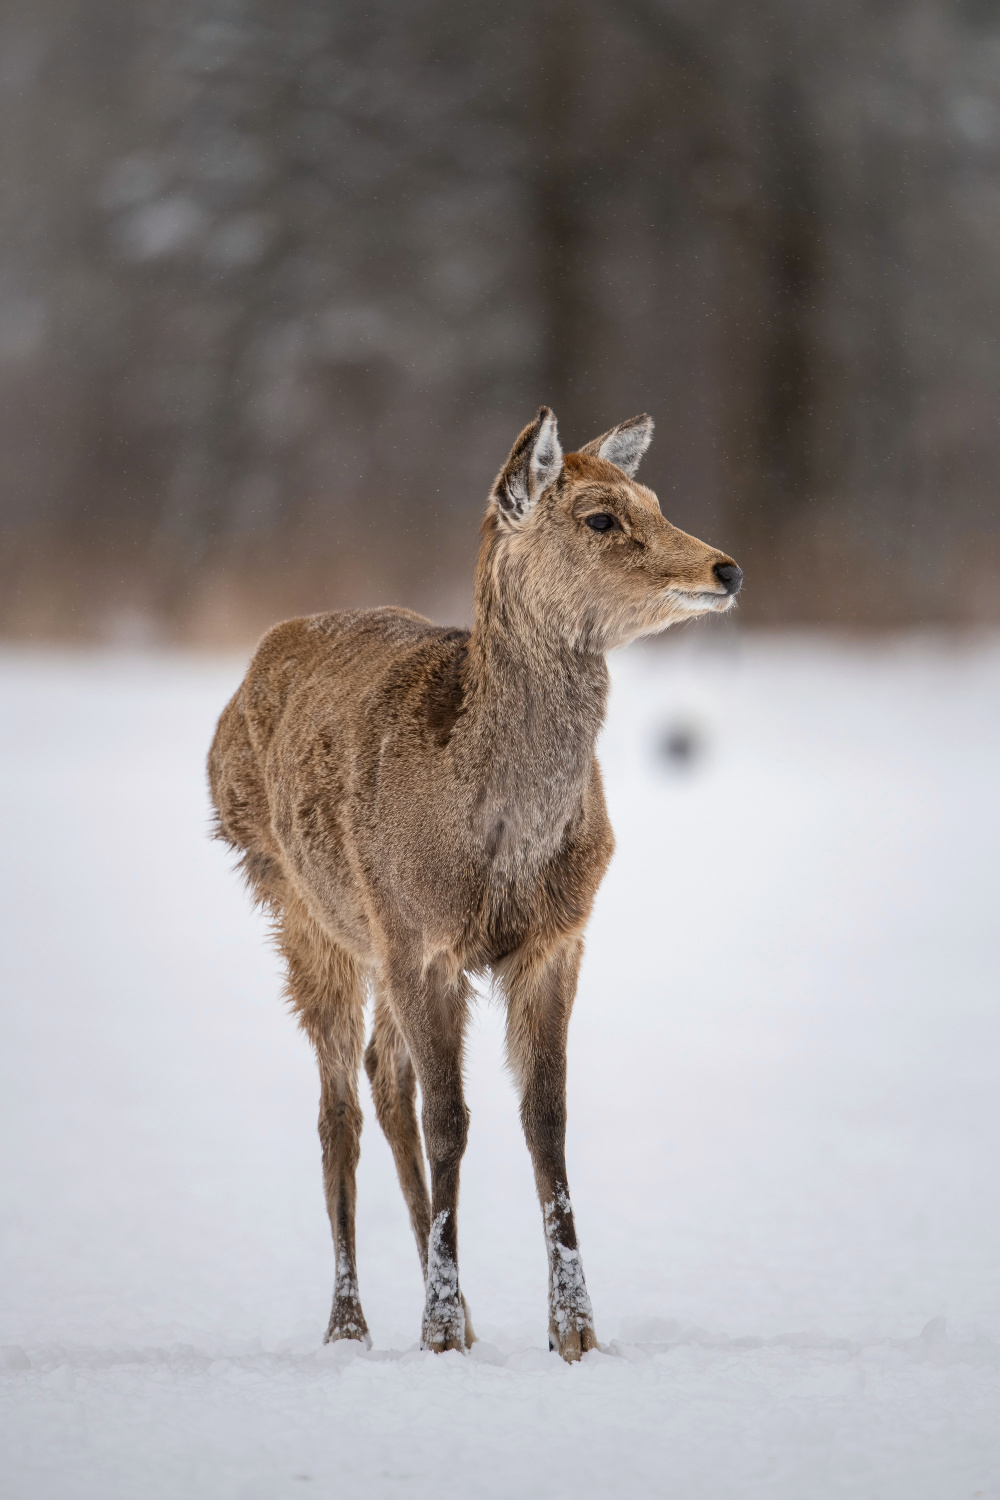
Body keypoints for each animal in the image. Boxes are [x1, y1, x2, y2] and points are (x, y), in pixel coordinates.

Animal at [209, 408, 743, 1362]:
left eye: (653, 498)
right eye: (601, 518)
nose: (725, 568)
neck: (497, 844)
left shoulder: (556, 937)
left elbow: (546, 1119)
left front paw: (574, 1333)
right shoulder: (419, 937)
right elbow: (451, 1120)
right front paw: (437, 1332)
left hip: (374, 936)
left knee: (384, 1078)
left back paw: (457, 1308)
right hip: (303, 906)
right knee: (339, 1107)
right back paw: (352, 1325)